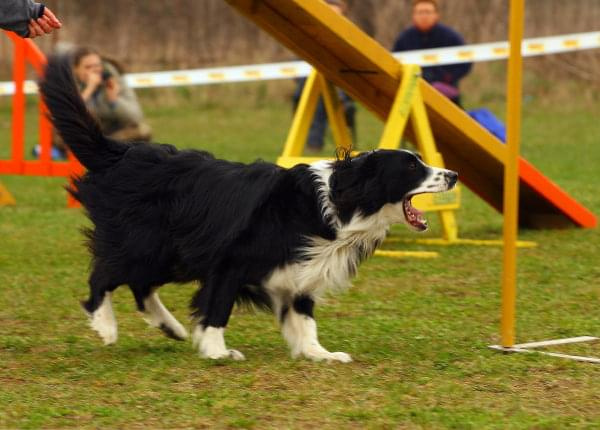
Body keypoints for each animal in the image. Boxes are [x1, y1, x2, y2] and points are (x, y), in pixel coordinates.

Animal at [39, 55, 458, 362]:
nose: (453, 174)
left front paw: (319, 353)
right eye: (411, 167)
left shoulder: (302, 268)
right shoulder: (230, 260)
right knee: (105, 274)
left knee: (141, 285)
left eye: (422, 160)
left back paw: (170, 327)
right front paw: (217, 352)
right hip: (145, 240)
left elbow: (304, 317)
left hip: (169, 252)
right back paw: (106, 325)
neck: (340, 203)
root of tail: (121, 153)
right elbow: (217, 306)